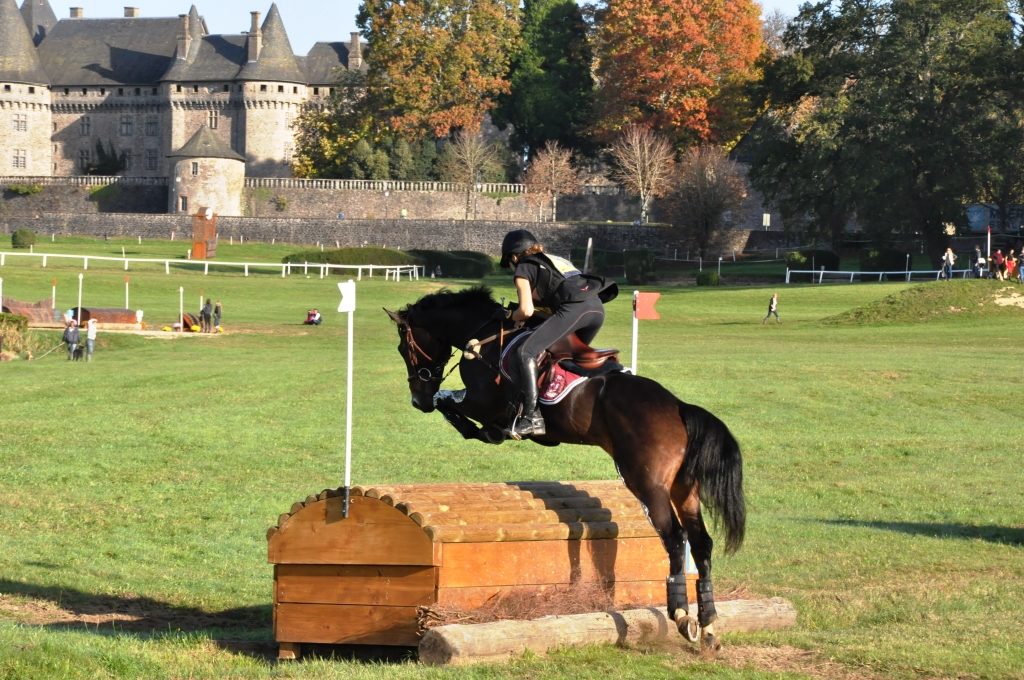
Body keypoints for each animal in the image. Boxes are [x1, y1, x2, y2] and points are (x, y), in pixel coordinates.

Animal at [385, 286, 745, 655]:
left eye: (404, 348)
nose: (417, 401)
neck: (485, 334)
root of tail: (678, 407)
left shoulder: (482, 401)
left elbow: (450, 401)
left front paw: (488, 429)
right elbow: (451, 403)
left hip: (647, 483)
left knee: (675, 538)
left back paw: (682, 616)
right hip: (683, 489)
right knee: (701, 543)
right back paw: (709, 625)